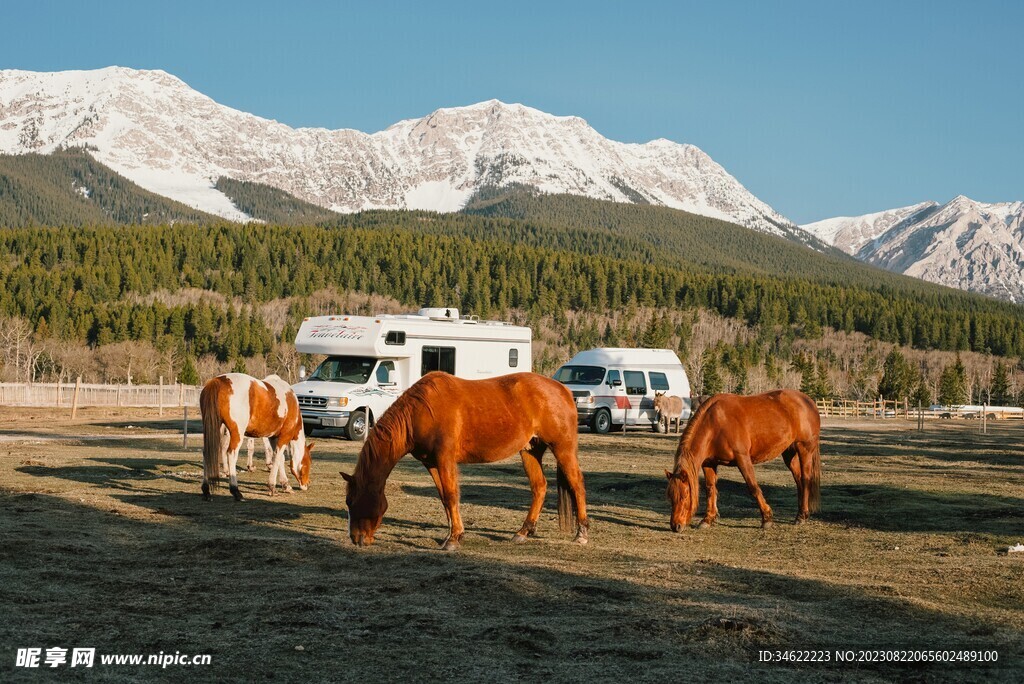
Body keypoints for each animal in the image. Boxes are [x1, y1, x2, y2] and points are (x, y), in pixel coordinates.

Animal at [339, 370, 589, 548]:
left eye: (351, 501)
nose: (356, 539)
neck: (421, 410)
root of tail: (563, 390)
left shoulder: (445, 460)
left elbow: (451, 495)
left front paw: (453, 539)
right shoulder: (431, 463)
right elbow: (444, 498)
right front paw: (452, 535)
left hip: (563, 448)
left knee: (576, 484)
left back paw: (582, 533)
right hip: (530, 450)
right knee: (539, 487)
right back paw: (523, 532)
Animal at [663, 389, 823, 528]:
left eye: (684, 496)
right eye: (670, 496)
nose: (675, 526)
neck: (715, 424)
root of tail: (808, 401)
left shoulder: (743, 459)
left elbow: (753, 487)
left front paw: (767, 519)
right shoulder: (709, 463)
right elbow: (710, 489)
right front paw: (707, 519)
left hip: (804, 449)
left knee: (805, 479)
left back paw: (802, 516)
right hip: (789, 454)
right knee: (798, 480)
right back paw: (800, 513)